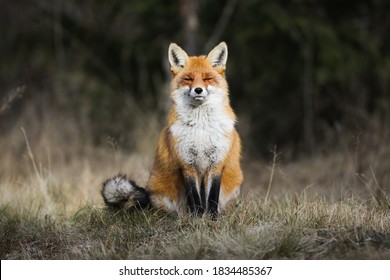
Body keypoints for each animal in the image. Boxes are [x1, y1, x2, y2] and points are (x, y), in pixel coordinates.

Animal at [102, 41, 242, 218]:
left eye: (207, 78)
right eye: (188, 79)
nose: (198, 90)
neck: (201, 129)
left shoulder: (216, 162)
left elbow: (212, 197)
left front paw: (211, 218)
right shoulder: (186, 163)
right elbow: (195, 197)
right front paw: (197, 218)